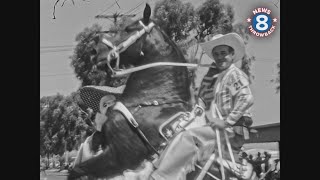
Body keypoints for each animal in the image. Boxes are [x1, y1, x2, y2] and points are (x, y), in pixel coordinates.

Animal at [68, 3, 258, 180]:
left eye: (129, 29)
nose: (94, 50)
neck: (152, 101)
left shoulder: (118, 157)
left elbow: (76, 171)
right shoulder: (103, 139)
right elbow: (87, 148)